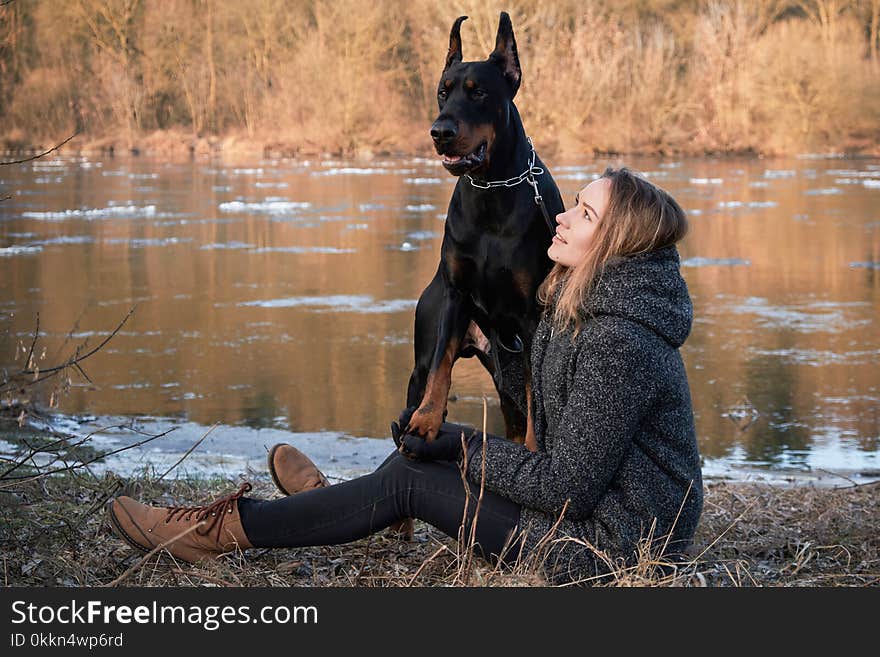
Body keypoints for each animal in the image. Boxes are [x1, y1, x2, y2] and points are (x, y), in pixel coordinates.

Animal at [406, 12, 564, 448]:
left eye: (478, 94)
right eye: (442, 92)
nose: (440, 132)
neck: (491, 190)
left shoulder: (530, 315)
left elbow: (535, 394)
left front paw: (533, 447)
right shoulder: (456, 297)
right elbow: (441, 367)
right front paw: (426, 420)